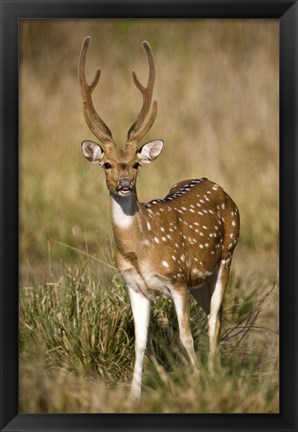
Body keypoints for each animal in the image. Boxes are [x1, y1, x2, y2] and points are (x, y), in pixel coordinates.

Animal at [78, 35, 240, 400]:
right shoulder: (134, 286)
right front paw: (133, 396)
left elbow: (185, 337)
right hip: (201, 280)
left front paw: (198, 383)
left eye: (136, 164)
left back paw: (214, 375)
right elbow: (141, 343)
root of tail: (215, 184)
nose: (124, 184)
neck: (141, 248)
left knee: (214, 319)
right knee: (216, 314)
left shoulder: (177, 279)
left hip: (226, 255)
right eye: (106, 163)